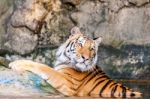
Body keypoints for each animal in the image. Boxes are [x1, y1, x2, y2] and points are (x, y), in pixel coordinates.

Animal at [8, 26, 142, 98]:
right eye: (80, 44)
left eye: (91, 49)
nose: (85, 58)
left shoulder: (67, 83)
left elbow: (44, 67)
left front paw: (16, 63)